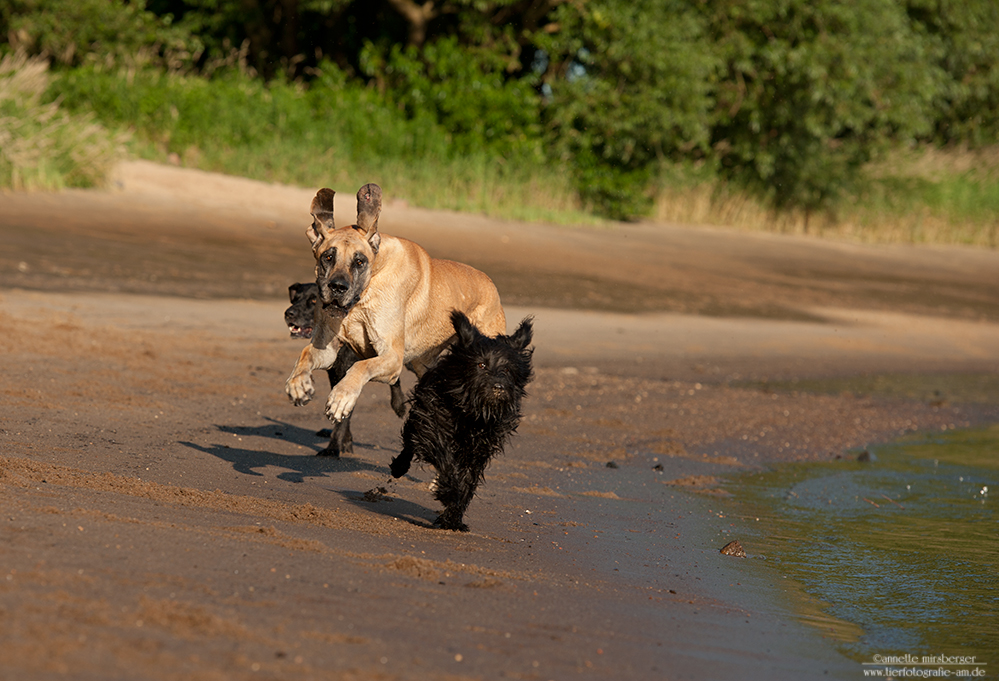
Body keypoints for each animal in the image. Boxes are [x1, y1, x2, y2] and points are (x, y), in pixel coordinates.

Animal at [284, 282, 404, 456]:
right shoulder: (335, 376)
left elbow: (342, 417)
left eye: (313, 300)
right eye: (295, 299)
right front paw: (346, 442)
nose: (289, 313)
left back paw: (399, 404)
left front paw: (333, 448)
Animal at [288, 182, 508, 424]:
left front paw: (342, 397)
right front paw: (298, 384)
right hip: (422, 363)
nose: (337, 287)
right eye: (328, 257)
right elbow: (306, 354)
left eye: (359, 261)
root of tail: (492, 286)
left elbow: (360, 365)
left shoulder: (392, 356)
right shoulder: (327, 348)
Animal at [388, 310, 536, 532]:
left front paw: (452, 518)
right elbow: (445, 460)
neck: (473, 414)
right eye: (481, 364)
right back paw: (399, 467)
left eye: (508, 370)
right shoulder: (434, 425)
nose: (499, 387)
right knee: (410, 442)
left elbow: (468, 481)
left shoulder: (478, 450)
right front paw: (448, 491)